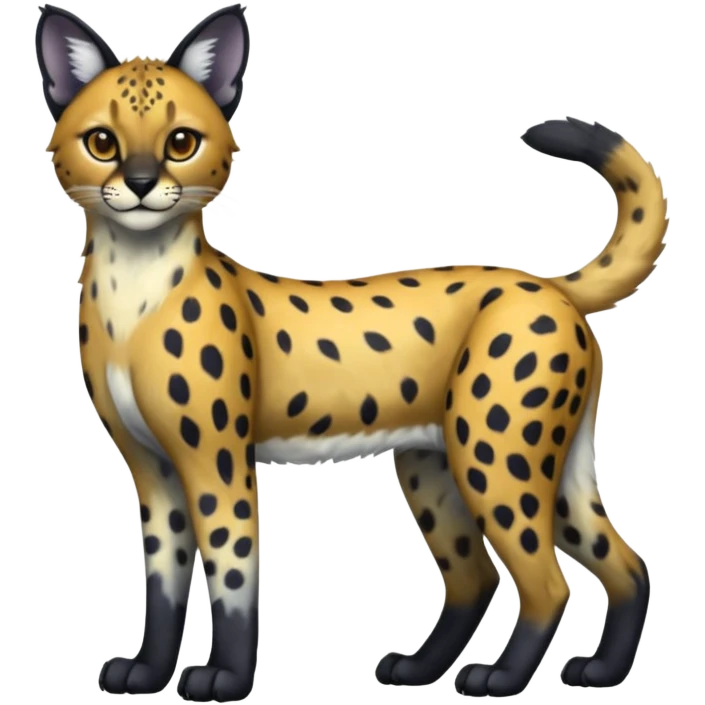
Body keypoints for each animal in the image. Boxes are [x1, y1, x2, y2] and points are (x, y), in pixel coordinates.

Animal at [36, 4, 667, 701]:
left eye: (181, 142)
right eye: (102, 142)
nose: (143, 183)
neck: (135, 293)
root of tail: (547, 284)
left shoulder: (218, 462)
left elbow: (233, 570)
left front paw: (226, 676)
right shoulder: (152, 468)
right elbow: (163, 579)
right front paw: (148, 671)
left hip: (495, 457)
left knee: (548, 582)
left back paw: (500, 678)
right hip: (448, 465)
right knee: (584, 567)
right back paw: (545, 669)